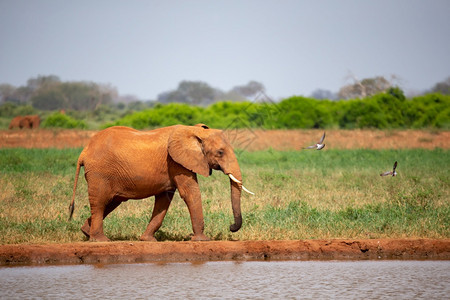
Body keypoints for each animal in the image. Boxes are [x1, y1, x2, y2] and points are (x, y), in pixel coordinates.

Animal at [69, 123, 255, 243]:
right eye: (220, 152)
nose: (231, 227)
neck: (194, 130)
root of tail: (84, 151)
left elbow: (164, 200)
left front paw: (147, 240)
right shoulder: (177, 162)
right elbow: (190, 192)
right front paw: (202, 240)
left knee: (112, 201)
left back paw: (86, 233)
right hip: (99, 173)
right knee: (100, 202)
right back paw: (101, 240)